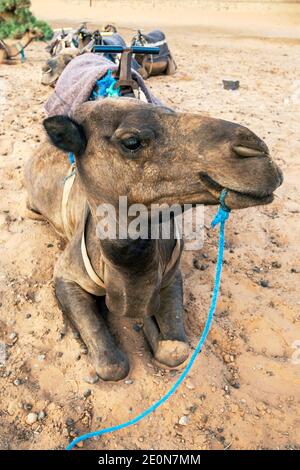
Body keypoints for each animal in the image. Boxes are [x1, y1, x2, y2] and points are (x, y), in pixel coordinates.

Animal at [24, 96, 282, 382]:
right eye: (132, 141)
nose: (256, 151)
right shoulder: (67, 275)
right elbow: (112, 365)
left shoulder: (171, 275)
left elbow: (175, 350)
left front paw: (149, 324)